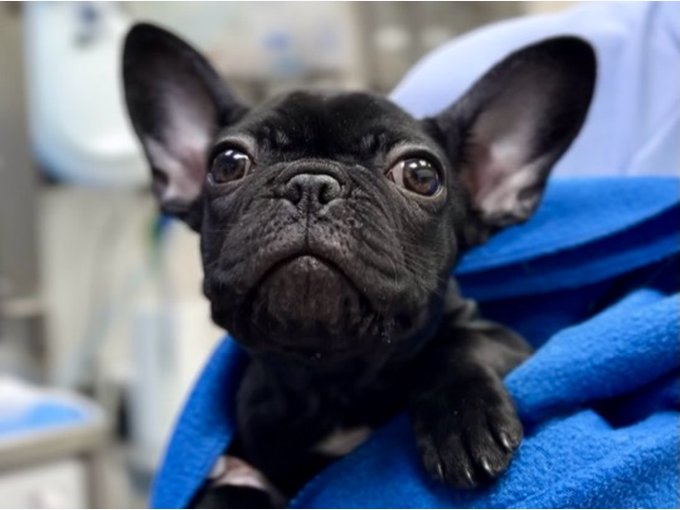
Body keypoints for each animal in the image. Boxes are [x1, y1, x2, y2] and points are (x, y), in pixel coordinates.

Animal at [122, 23, 595, 508]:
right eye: (227, 163)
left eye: (421, 174)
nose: (312, 183)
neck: (332, 380)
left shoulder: (505, 339)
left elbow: (461, 344)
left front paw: (464, 418)